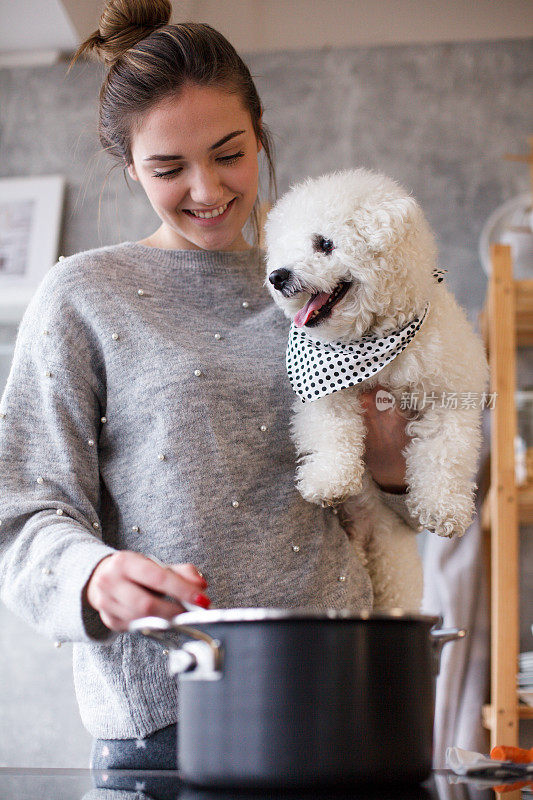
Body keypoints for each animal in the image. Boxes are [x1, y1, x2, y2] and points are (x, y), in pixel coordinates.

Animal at [264, 167, 488, 608]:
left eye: (325, 243)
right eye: (285, 246)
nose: (277, 276)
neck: (372, 341)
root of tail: (367, 535)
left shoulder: (449, 398)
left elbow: (444, 455)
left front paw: (444, 509)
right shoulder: (325, 395)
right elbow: (332, 434)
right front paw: (329, 481)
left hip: (395, 565)